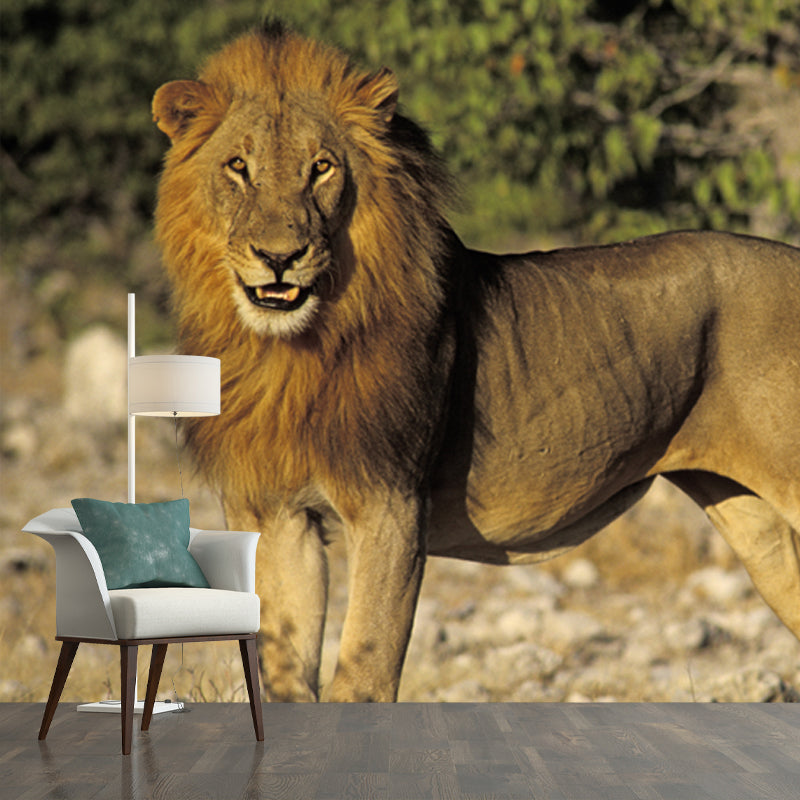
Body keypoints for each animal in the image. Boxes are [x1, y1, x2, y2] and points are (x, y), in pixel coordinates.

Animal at [152, 21, 800, 702]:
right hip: (752, 522)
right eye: (238, 167)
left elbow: (364, 672)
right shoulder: (274, 514)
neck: (289, 350)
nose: (280, 257)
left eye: (321, 168)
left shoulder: (391, 505)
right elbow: (286, 676)